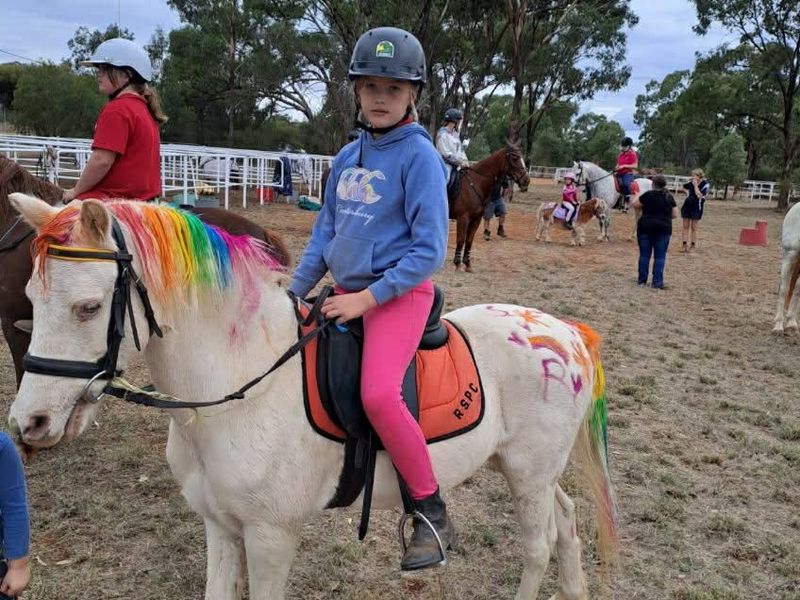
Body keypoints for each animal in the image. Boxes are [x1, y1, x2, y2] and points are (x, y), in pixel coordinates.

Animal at [8, 192, 617, 600]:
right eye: (31, 296)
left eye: (88, 307)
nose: (28, 422)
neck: (243, 387)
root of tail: (566, 334)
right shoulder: (219, 527)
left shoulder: (271, 536)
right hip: (520, 469)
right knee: (567, 524)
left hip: (527, 475)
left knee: (540, 545)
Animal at [450, 142, 530, 272]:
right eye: (514, 157)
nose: (526, 180)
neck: (475, 183)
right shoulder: (463, 218)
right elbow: (461, 240)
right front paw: (457, 264)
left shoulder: (476, 219)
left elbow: (469, 241)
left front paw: (467, 264)